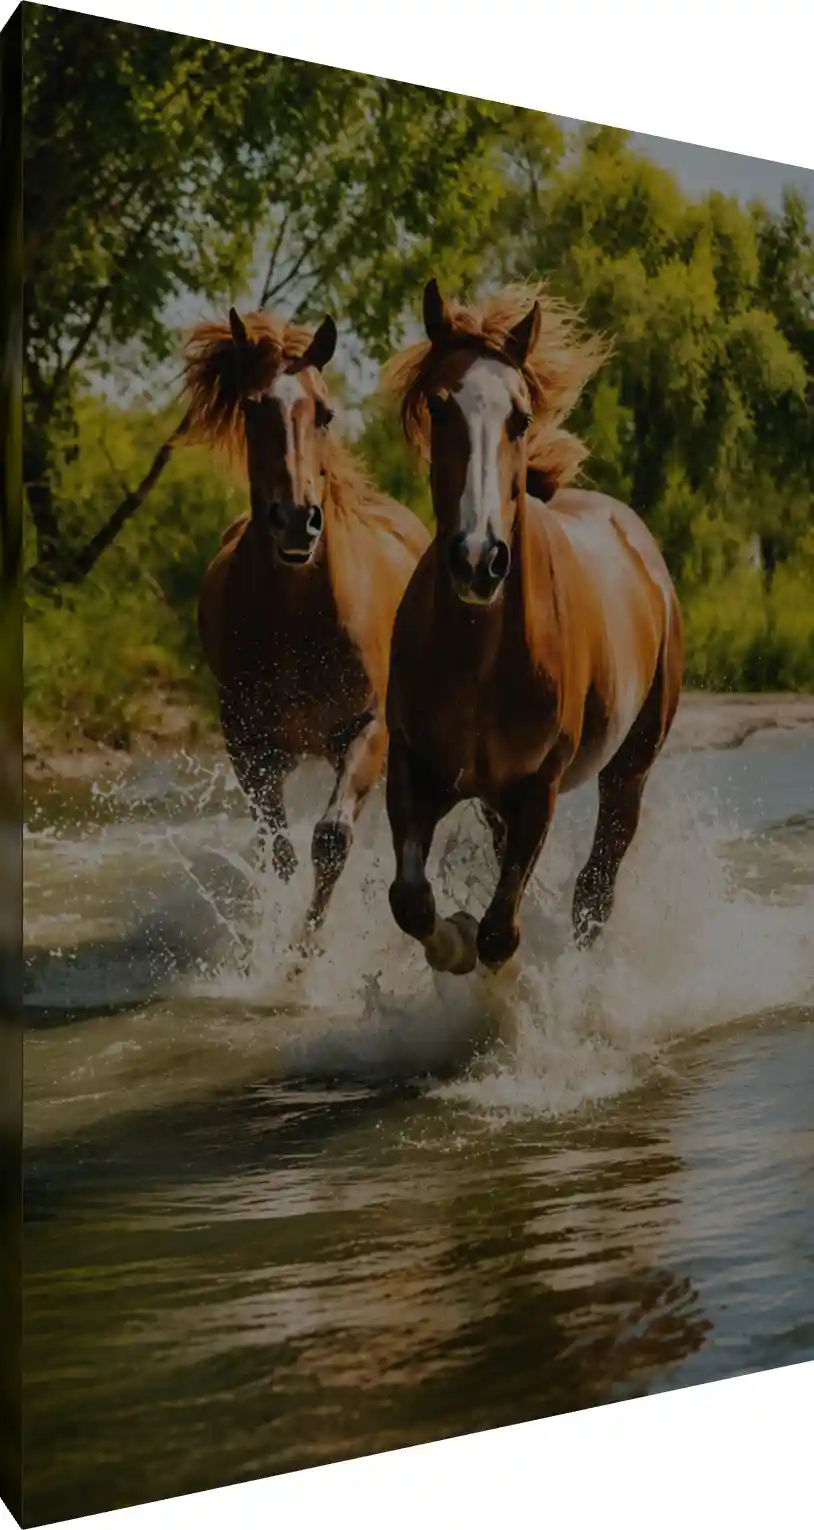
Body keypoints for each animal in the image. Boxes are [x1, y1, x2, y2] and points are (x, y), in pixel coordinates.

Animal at [185, 307, 431, 941]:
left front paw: (307, 948)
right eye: (252, 409)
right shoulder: (250, 744)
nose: (297, 520)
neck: (299, 619)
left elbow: (332, 840)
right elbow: (282, 851)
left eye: (324, 412)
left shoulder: (369, 728)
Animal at [381, 278, 684, 976]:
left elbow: (501, 932)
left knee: (595, 889)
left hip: (629, 769)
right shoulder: (415, 764)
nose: (477, 558)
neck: (480, 655)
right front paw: (454, 940)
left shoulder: (535, 788)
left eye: (519, 418)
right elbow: (410, 900)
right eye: (440, 406)